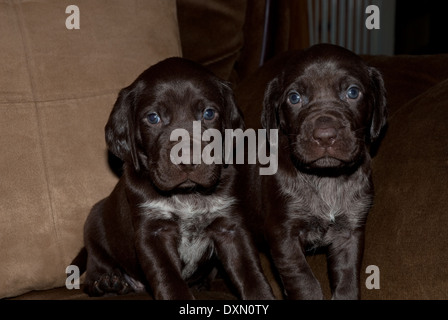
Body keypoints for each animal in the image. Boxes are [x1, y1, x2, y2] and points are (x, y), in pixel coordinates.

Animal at [71, 57, 272, 300]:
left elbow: (251, 273)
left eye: (208, 113)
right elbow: (169, 278)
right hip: (94, 227)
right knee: (95, 267)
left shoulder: (230, 227)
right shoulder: (153, 233)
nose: (187, 159)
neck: (188, 195)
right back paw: (107, 282)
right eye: (153, 118)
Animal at [238, 43, 388, 298]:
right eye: (294, 97)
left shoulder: (350, 233)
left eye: (353, 92)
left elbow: (347, 280)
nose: (325, 136)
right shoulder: (283, 233)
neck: (327, 178)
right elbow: (303, 279)